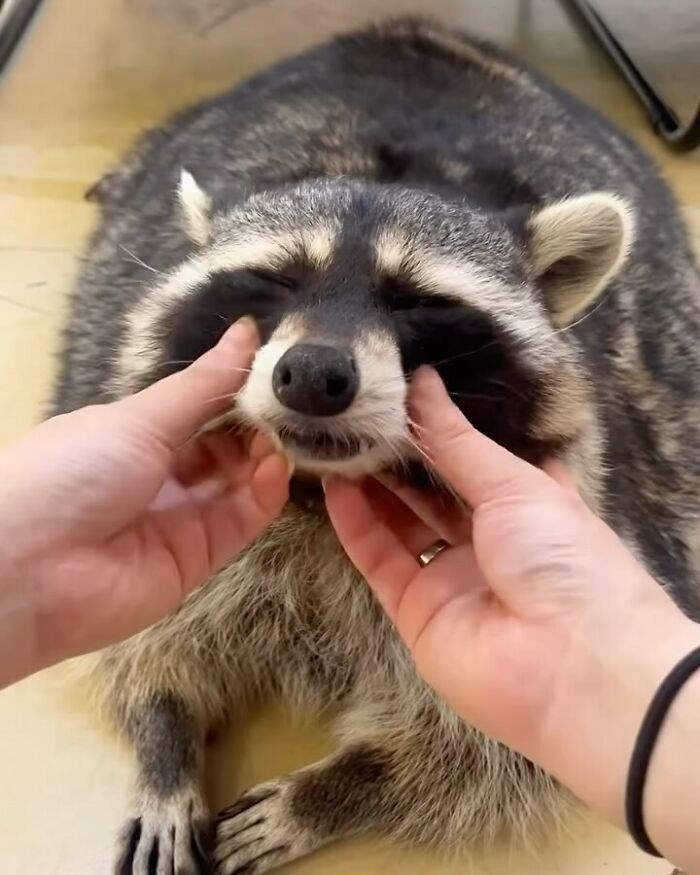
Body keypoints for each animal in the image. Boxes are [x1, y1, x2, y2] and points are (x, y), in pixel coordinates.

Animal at [53, 16, 700, 875]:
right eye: (278, 279)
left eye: (417, 301)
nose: (313, 375)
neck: (315, 493)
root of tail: (411, 28)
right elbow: (144, 628)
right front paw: (164, 737)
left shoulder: (613, 508)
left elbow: (498, 749)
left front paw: (340, 787)